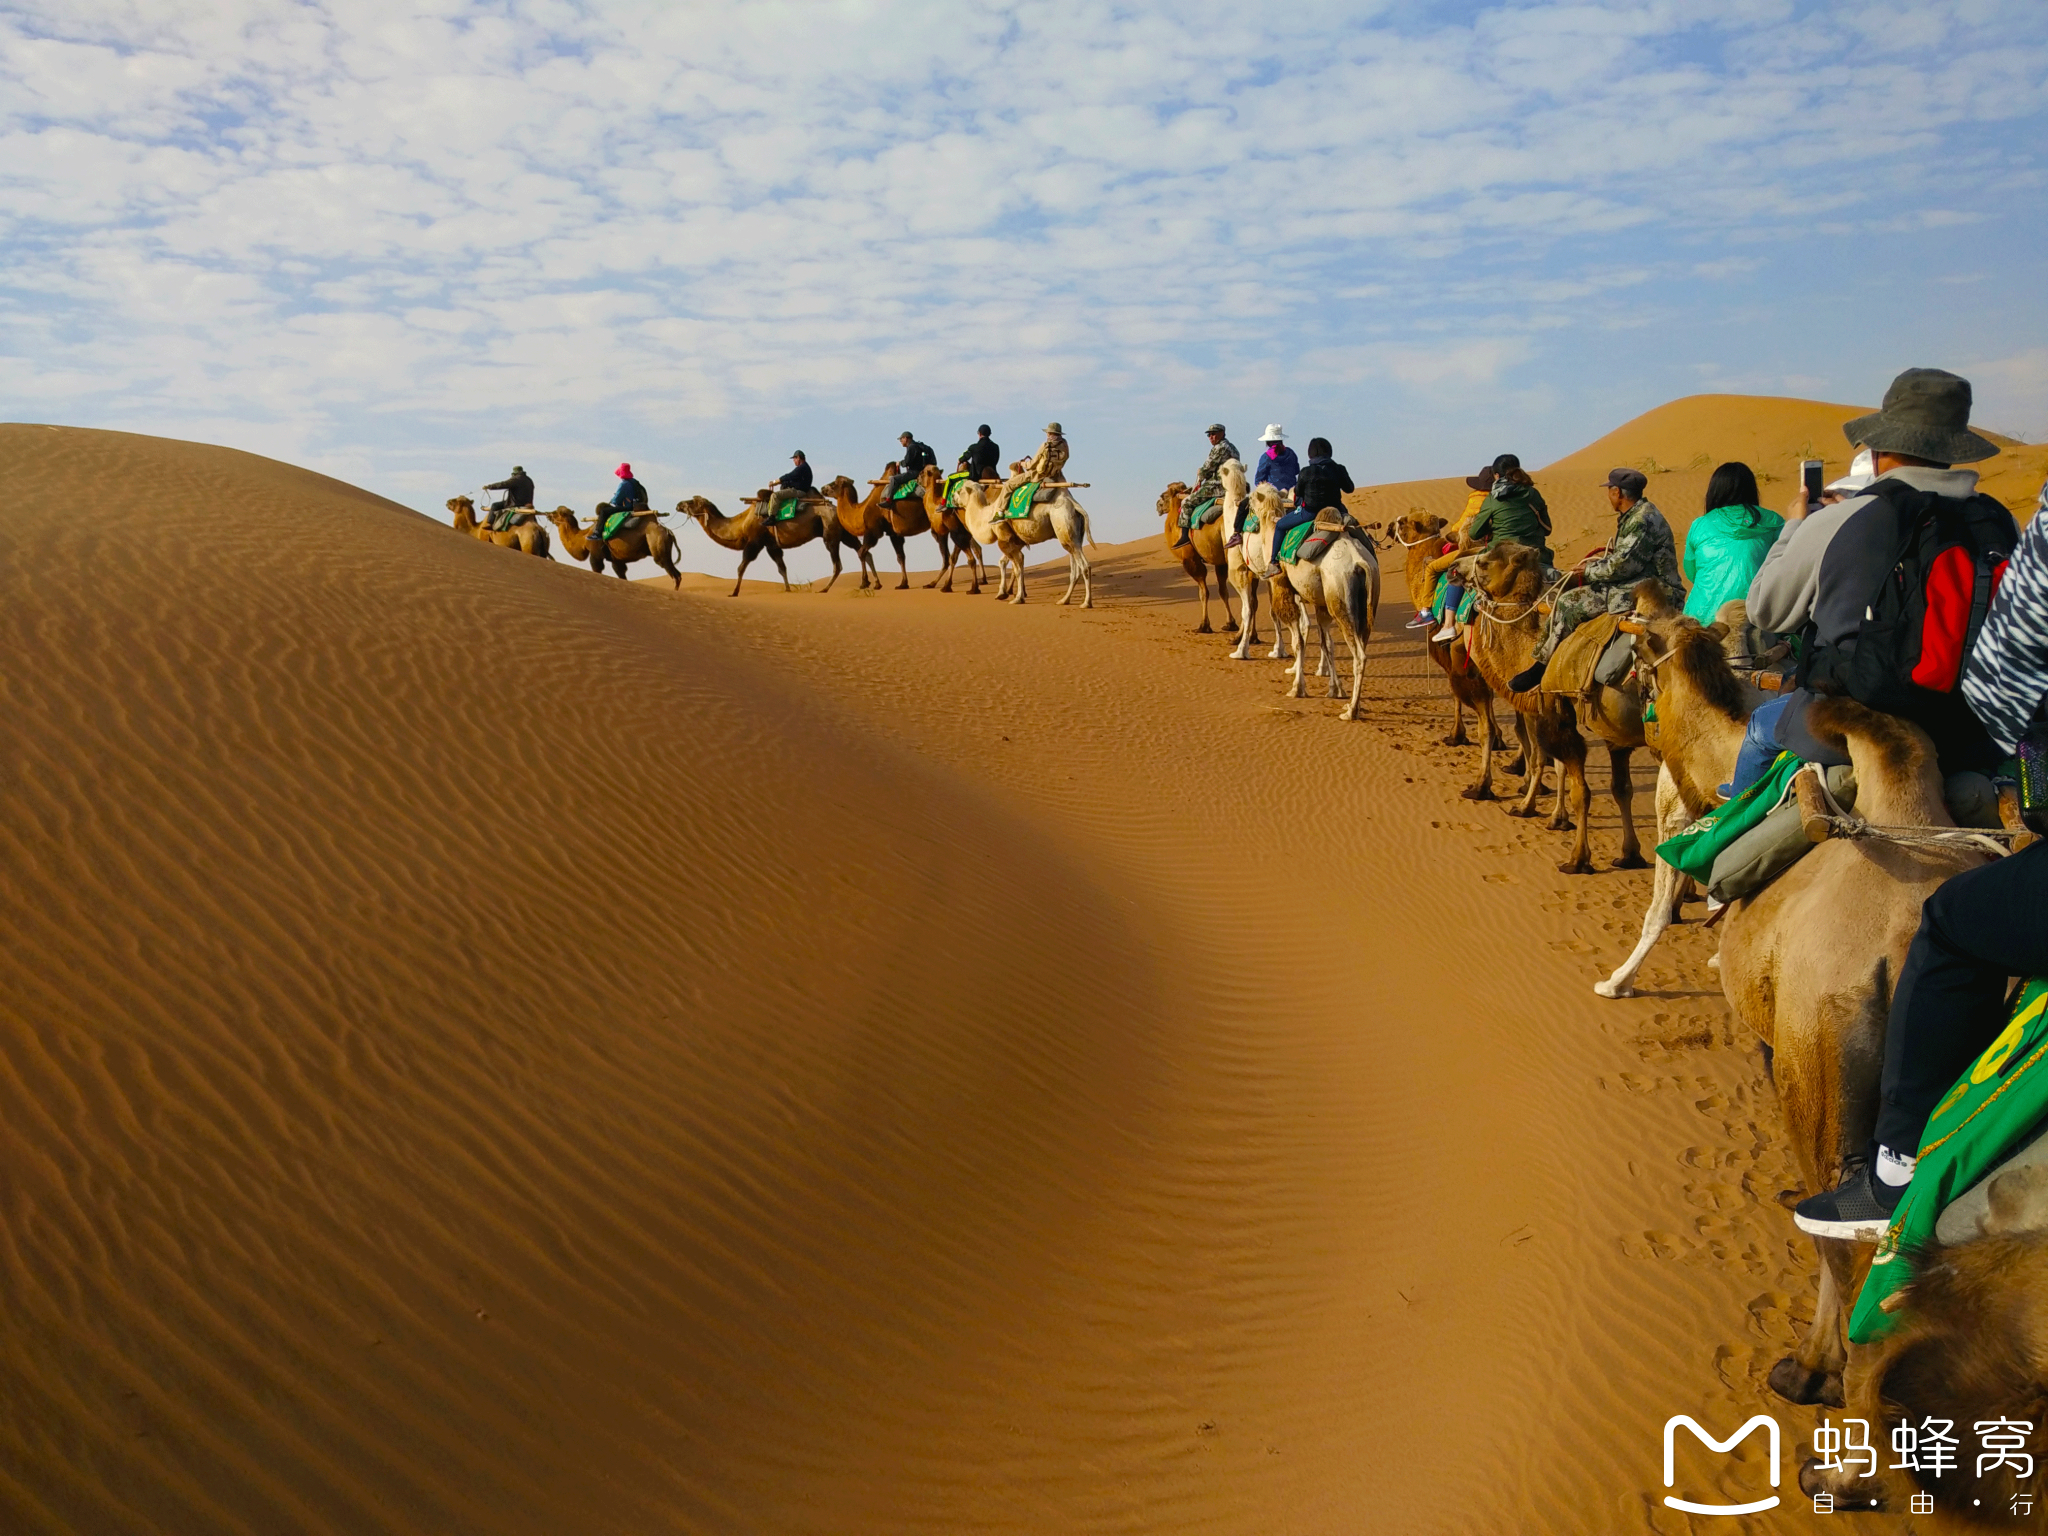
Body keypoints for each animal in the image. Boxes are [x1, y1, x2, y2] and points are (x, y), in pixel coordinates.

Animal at [548, 505, 684, 589]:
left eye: (555, 513)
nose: (547, 514)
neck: (583, 538)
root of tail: (668, 531)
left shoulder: (595, 553)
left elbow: (597, 569)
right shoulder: (616, 559)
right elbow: (621, 573)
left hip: (657, 543)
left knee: (674, 574)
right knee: (676, 573)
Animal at [675, 489, 851, 598]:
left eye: (691, 502)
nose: (678, 504)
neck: (742, 524)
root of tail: (835, 509)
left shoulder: (755, 541)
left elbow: (741, 567)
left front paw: (734, 592)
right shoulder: (771, 544)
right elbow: (782, 568)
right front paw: (788, 589)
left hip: (829, 531)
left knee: (837, 563)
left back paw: (824, 589)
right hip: (843, 532)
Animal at [950, 481, 1097, 606]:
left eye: (959, 491)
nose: (951, 497)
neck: (986, 518)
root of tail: (1074, 504)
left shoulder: (1003, 536)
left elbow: (1017, 566)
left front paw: (1017, 598)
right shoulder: (1016, 541)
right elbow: (1006, 563)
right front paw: (1002, 594)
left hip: (1062, 519)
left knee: (1084, 566)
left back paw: (1086, 603)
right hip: (1073, 534)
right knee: (1074, 568)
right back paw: (1064, 600)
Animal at [1236, 487, 1384, 720]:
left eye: (1251, 500)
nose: (1242, 505)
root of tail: (1361, 563)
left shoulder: (1283, 588)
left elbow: (1298, 640)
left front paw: (1297, 688)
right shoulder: (1321, 604)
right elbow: (1327, 644)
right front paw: (1335, 690)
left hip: (1341, 600)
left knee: (1360, 656)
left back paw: (1351, 712)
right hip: (1367, 603)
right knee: (1362, 642)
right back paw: (1353, 705)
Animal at [1613, 618, 1982, 1417]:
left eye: (1640, 666)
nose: (1627, 706)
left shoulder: (1778, 1039)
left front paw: (1810, 1372)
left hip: (1823, 1048)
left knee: (1849, 1249)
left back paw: (1825, 1381)